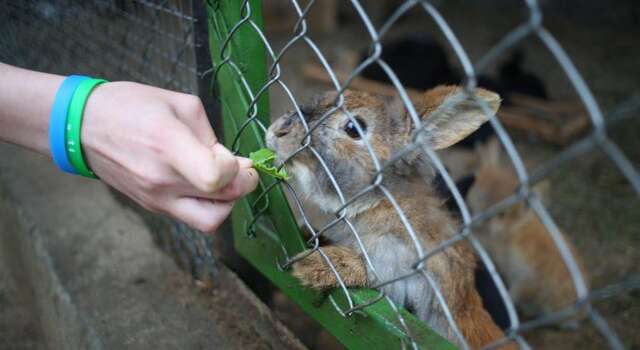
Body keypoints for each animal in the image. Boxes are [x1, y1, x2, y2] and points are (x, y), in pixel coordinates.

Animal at [464, 138, 592, 330]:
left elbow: (514, 293)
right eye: (474, 199)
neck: (515, 230)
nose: (476, 220)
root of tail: (582, 314)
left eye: (502, 214)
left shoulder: (527, 276)